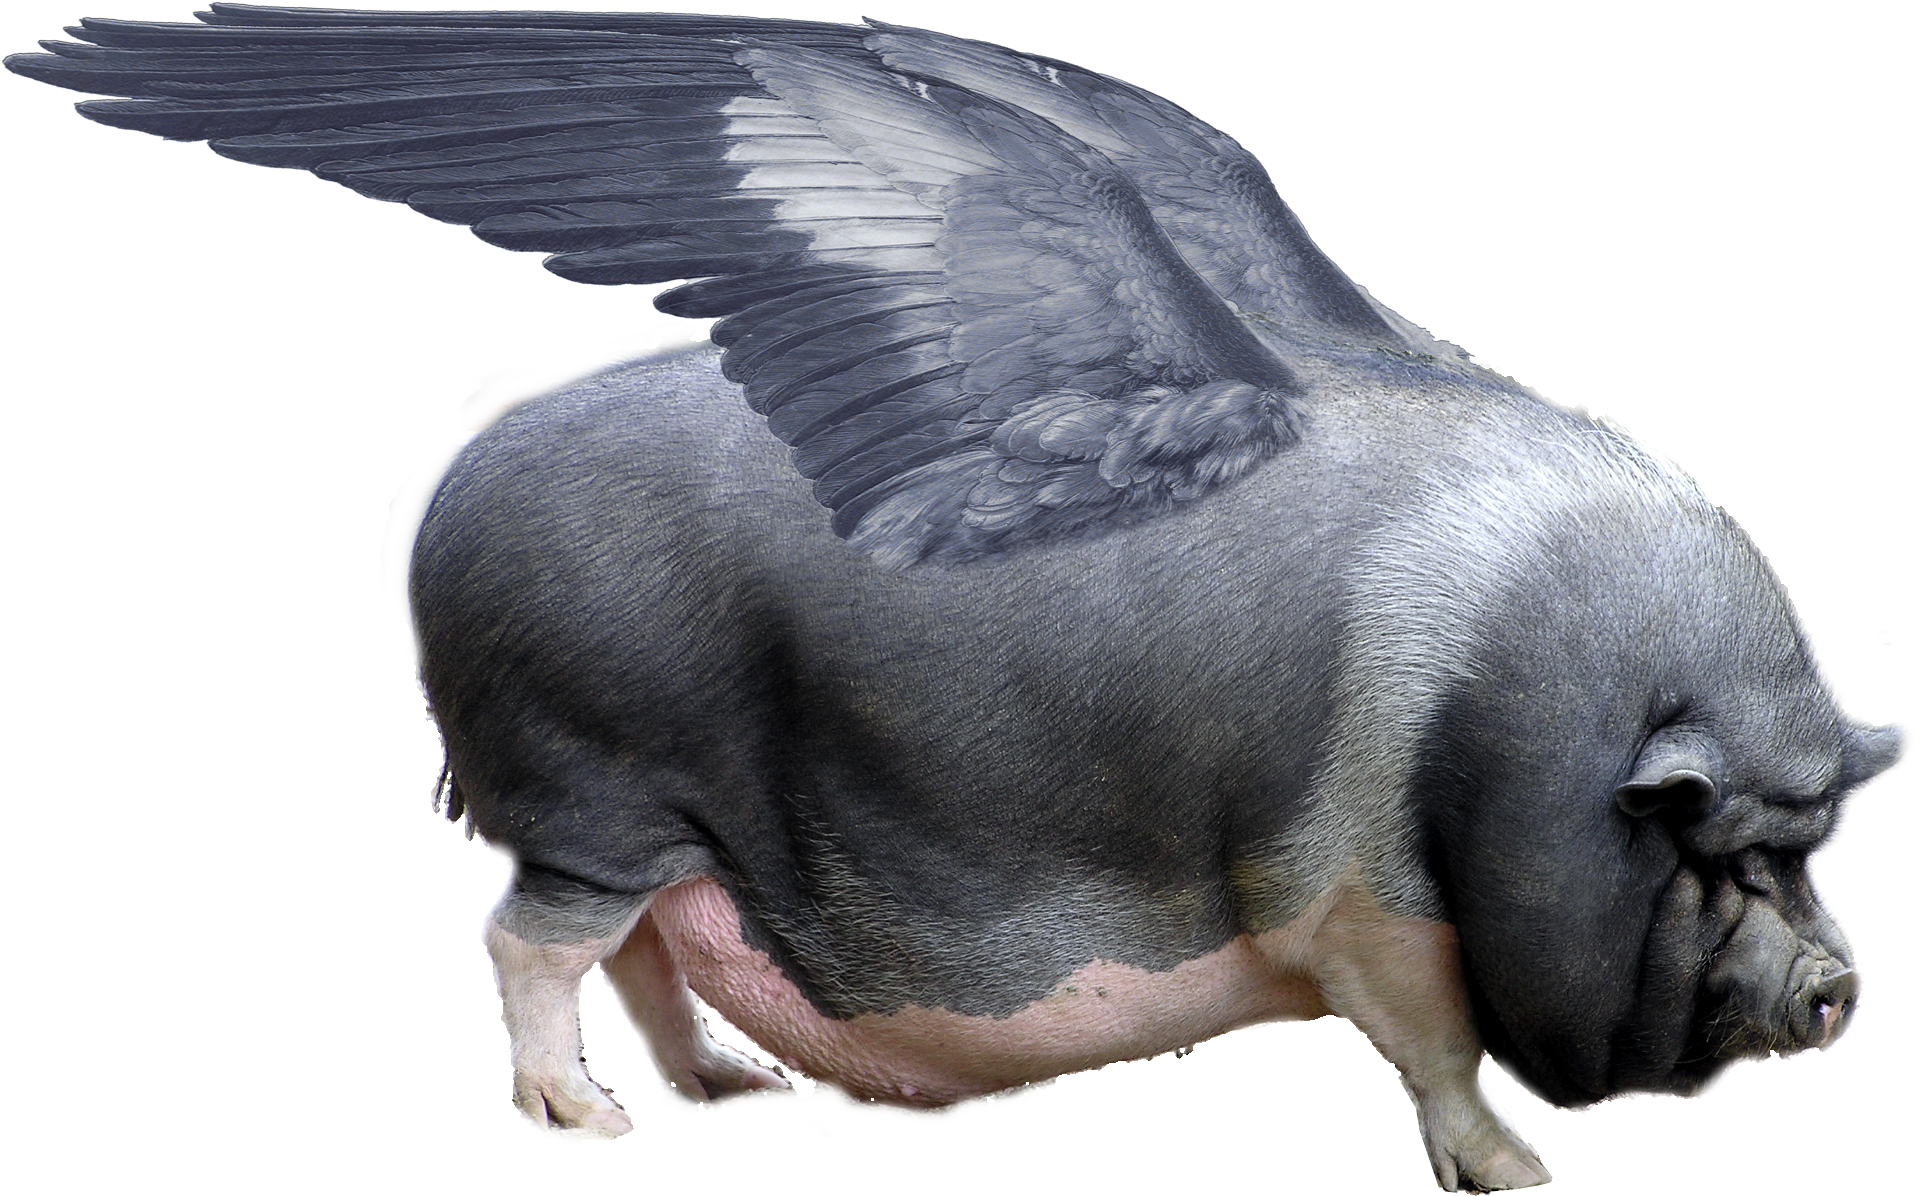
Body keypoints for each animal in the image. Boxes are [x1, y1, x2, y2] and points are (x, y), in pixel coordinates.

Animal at [8, 8, 1909, 1189]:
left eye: (1812, 847)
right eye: (1709, 851)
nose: (1837, 990)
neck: (1490, 721)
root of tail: (477, 435)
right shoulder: (1354, 895)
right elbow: (1433, 1048)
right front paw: (1516, 1178)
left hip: (667, 818)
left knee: (646, 949)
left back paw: (731, 1096)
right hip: (580, 777)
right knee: (528, 940)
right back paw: (587, 1129)